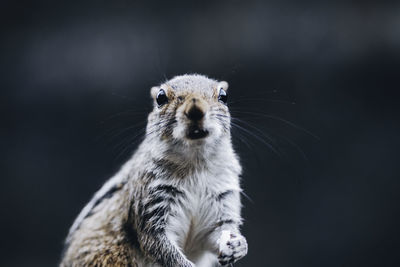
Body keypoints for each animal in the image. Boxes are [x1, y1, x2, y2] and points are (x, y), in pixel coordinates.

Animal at [60, 74, 247, 266]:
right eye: (160, 98)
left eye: (223, 96)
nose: (196, 109)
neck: (195, 163)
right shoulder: (150, 203)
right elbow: (158, 244)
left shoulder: (223, 196)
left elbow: (216, 232)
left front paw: (238, 245)